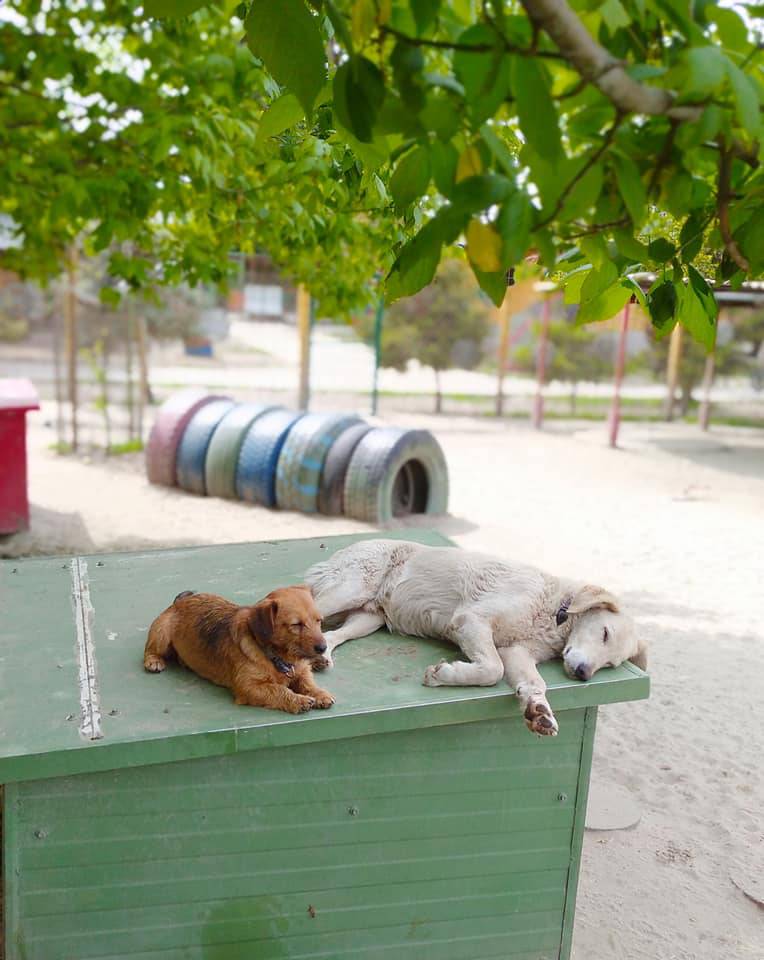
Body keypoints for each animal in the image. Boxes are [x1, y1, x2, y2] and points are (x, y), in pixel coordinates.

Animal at [143, 584, 334, 712]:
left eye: (319, 620)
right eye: (296, 624)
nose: (323, 647)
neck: (277, 657)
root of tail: (180, 601)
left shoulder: (301, 672)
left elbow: (307, 682)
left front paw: (320, 694)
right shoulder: (249, 687)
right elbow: (279, 689)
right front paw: (298, 700)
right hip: (161, 633)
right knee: (150, 650)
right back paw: (153, 661)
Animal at [304, 540, 644, 736]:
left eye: (610, 664)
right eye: (604, 633)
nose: (584, 674)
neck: (555, 611)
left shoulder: (516, 651)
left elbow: (534, 683)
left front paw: (540, 713)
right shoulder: (471, 620)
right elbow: (492, 670)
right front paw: (443, 675)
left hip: (368, 618)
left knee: (330, 634)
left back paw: (322, 656)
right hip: (350, 588)